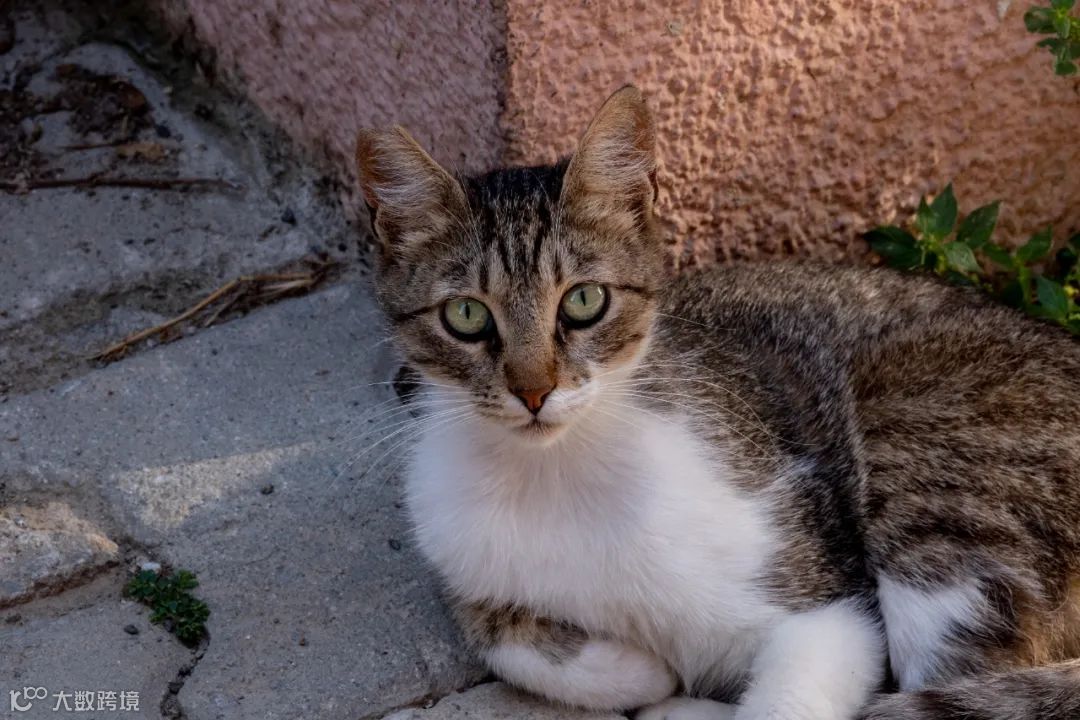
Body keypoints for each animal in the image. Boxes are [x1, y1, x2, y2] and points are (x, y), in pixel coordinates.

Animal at [354, 86, 1080, 720]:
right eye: (466, 315)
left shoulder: (827, 609)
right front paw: (646, 669)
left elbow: (793, 696)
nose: (534, 391)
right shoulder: (463, 562)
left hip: (926, 459)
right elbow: (500, 633)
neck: (559, 470)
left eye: (585, 301)